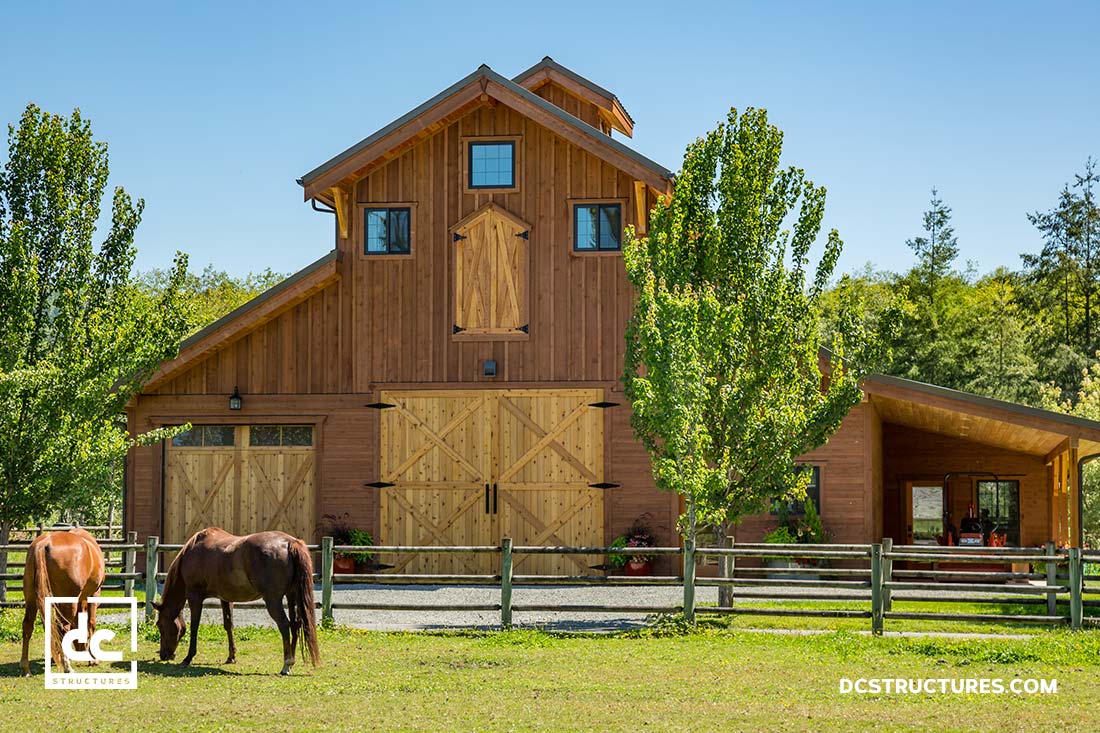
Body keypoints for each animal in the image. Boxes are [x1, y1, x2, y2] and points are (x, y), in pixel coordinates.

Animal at [20, 526, 106, 673]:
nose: (80, 649)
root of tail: (44, 543)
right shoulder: (94, 594)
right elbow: (91, 624)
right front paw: (93, 658)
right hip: (67, 602)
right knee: (62, 628)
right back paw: (67, 666)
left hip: (31, 598)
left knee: (28, 625)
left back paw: (26, 668)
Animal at [154, 526, 321, 673]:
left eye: (160, 625)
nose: (164, 655)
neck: (193, 552)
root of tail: (289, 542)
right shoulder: (225, 598)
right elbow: (229, 625)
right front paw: (231, 656)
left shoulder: (195, 596)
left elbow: (194, 626)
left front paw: (188, 658)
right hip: (292, 596)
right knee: (295, 625)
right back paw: (291, 661)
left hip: (273, 600)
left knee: (285, 626)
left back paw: (287, 664)